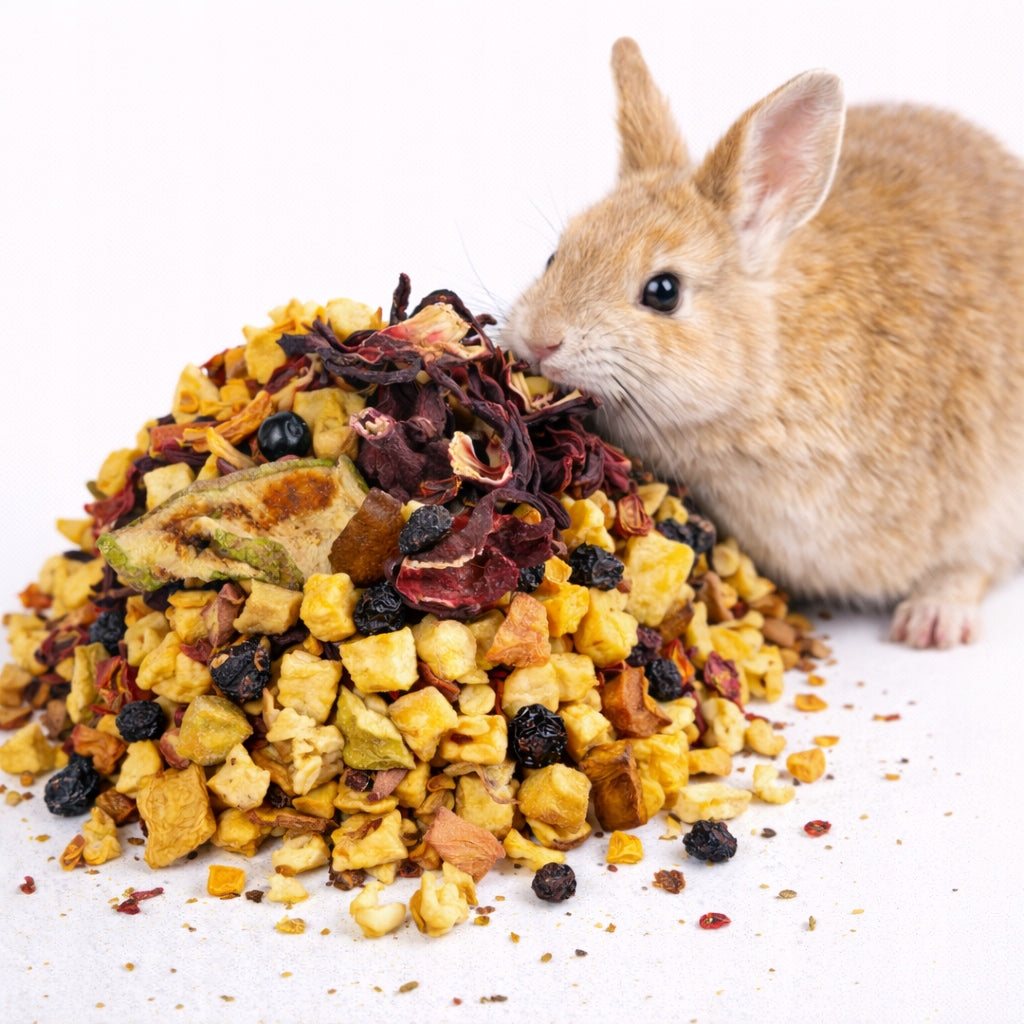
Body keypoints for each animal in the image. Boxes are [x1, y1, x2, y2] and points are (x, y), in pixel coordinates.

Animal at [503, 37, 1024, 648]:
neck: (766, 370)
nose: (540, 340)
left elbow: (970, 564)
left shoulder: (987, 501)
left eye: (663, 291)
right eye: (554, 255)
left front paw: (935, 621)